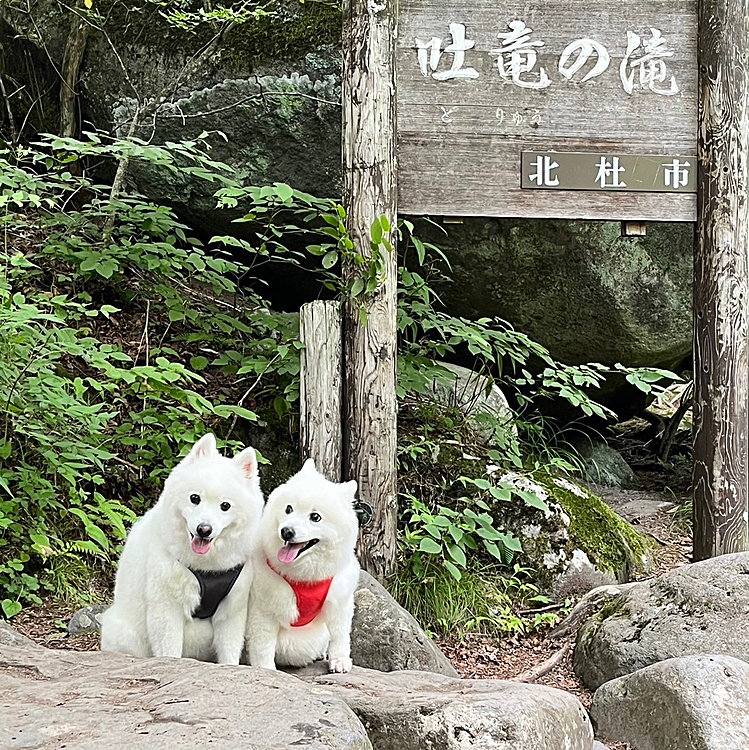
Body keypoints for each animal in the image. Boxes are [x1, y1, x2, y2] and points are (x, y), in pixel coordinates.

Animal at [99, 432, 262, 668]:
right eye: (195, 498)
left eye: (225, 506)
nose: (204, 529)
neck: (207, 568)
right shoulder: (167, 605)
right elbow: (170, 650)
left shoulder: (232, 608)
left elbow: (229, 650)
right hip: (126, 633)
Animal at [245, 462, 360, 672]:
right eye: (288, 509)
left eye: (315, 517)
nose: (286, 531)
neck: (305, 577)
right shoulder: (263, 608)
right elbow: (262, 645)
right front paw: (265, 669)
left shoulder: (340, 602)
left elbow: (340, 636)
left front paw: (339, 660)